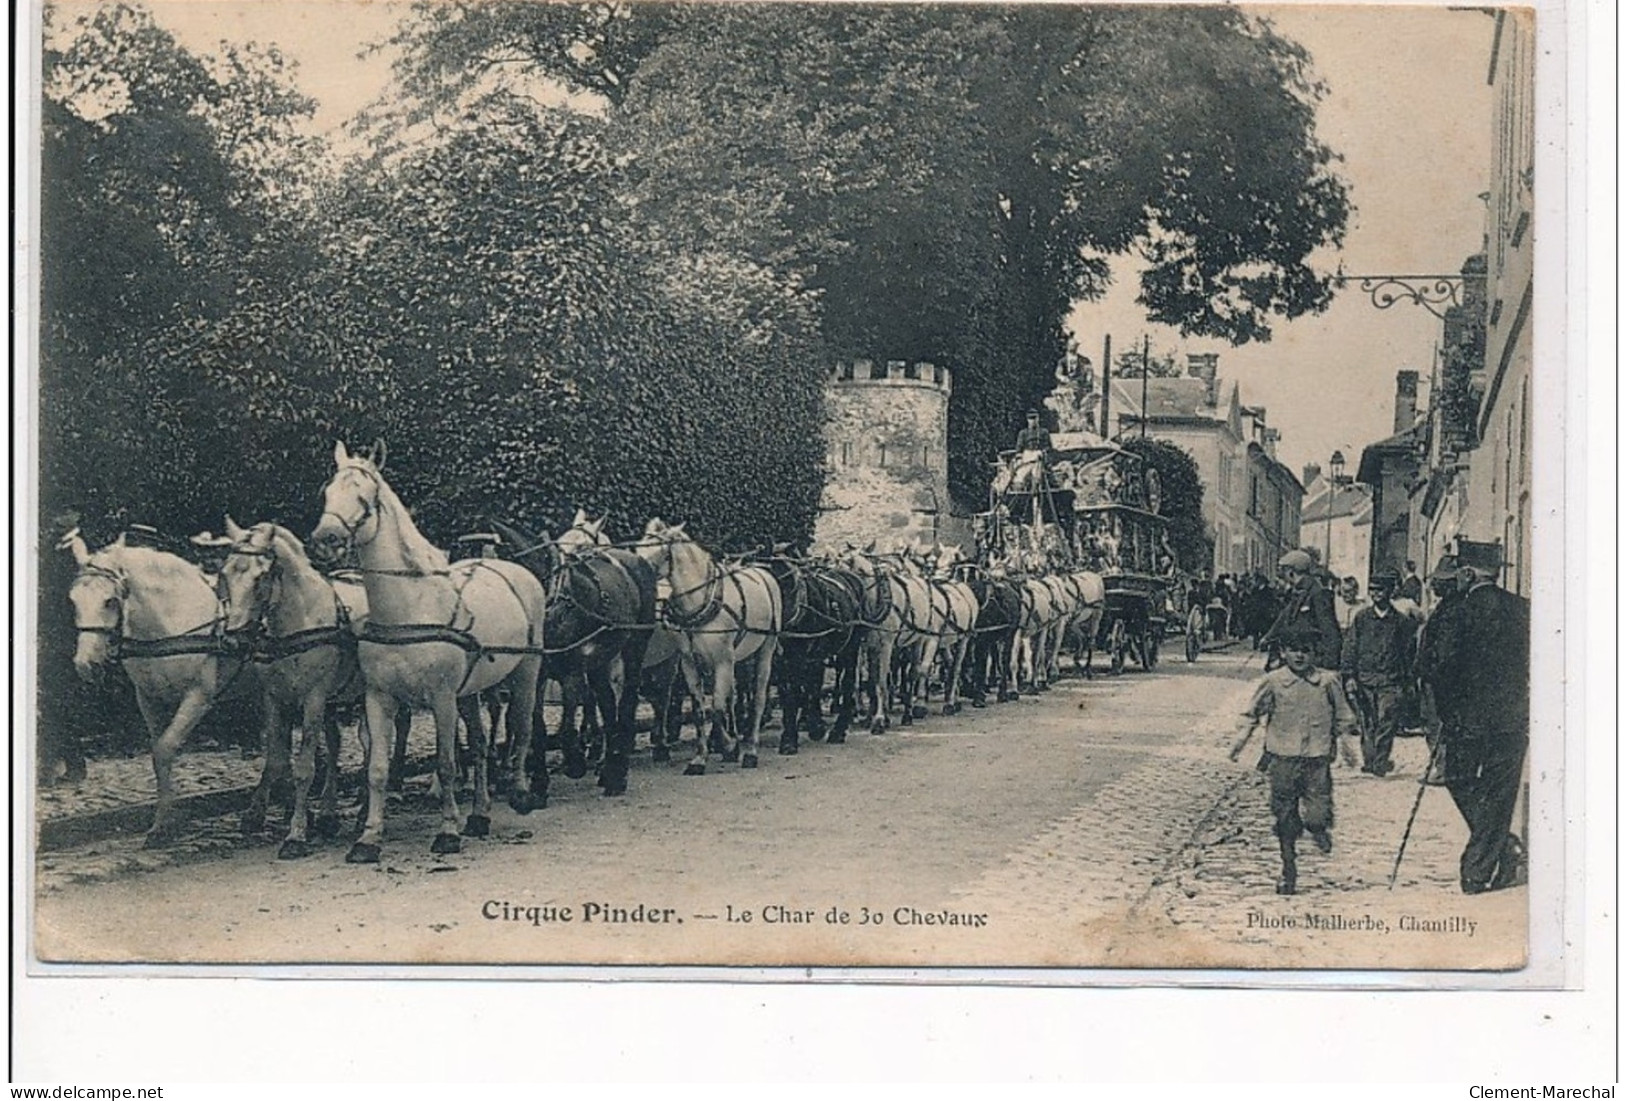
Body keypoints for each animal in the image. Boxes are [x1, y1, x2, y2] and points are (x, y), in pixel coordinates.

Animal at [307, 438, 549, 863]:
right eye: (328, 492)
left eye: (365, 497)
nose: (325, 540)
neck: (409, 606)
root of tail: (515, 570)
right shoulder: (379, 697)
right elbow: (378, 768)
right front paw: (368, 839)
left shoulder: (441, 697)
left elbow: (447, 763)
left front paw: (447, 832)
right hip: (470, 692)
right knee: (481, 746)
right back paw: (479, 815)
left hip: (526, 672)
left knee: (520, 727)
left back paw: (519, 792)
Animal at [487, 513, 659, 798]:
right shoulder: (539, 673)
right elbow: (536, 724)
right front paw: (539, 782)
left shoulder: (572, 668)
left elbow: (569, 714)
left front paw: (575, 761)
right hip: (601, 658)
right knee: (607, 702)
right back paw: (609, 768)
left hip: (634, 647)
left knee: (625, 701)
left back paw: (618, 769)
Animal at [633, 522, 780, 776]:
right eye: (639, 548)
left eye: (657, 551)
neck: (701, 601)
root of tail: (763, 573)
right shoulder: (690, 663)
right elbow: (700, 711)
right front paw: (700, 758)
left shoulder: (722, 660)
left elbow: (717, 709)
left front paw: (729, 746)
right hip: (738, 659)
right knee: (735, 696)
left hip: (765, 651)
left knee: (758, 698)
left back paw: (751, 750)